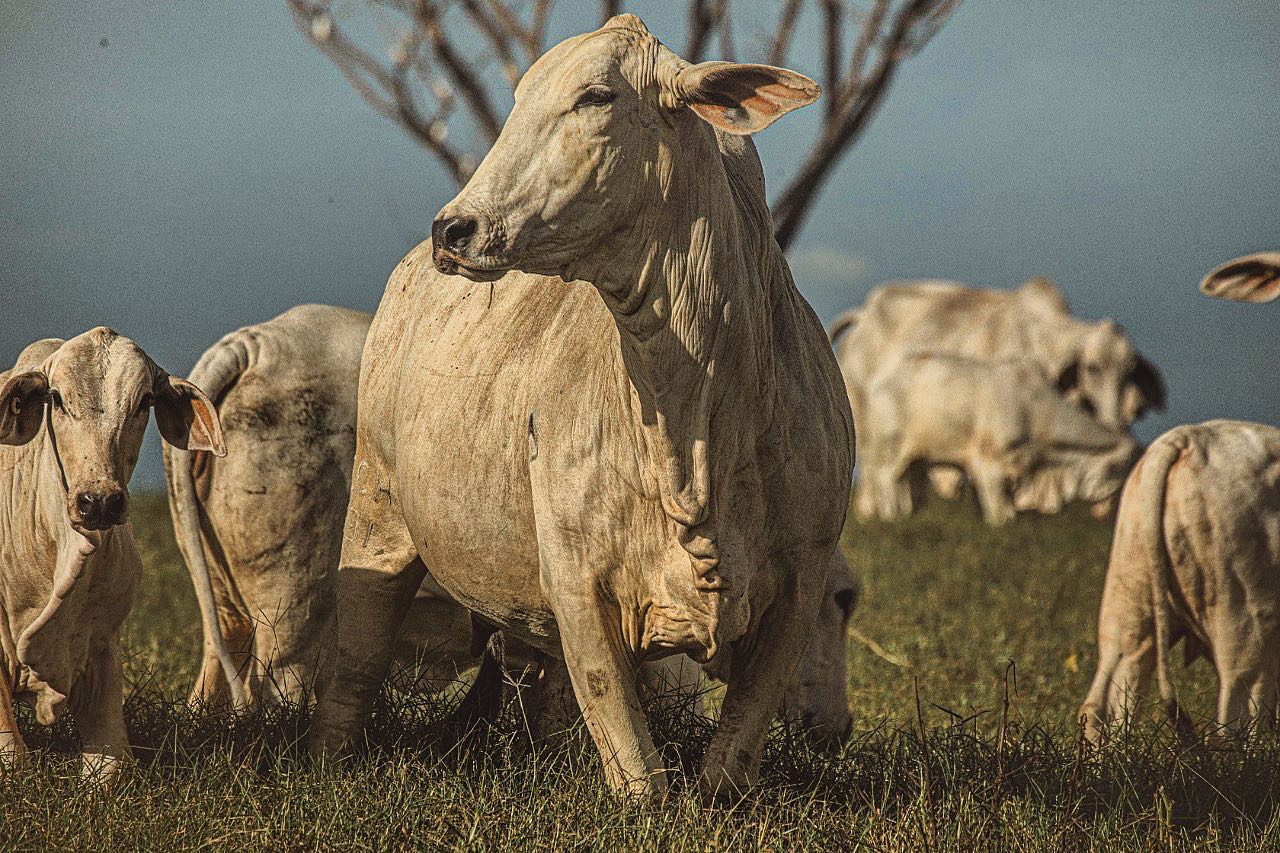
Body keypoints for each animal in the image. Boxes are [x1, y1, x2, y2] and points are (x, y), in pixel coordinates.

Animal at [0, 326, 224, 778]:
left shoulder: (102, 637)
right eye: (56, 398)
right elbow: (12, 755)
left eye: (145, 401)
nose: (99, 502)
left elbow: (111, 762)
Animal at [860, 348, 1141, 522]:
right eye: (1118, 468)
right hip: (890, 451)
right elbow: (999, 514)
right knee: (886, 484)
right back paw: (892, 517)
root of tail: (882, 376)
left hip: (917, 458)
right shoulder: (988, 464)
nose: (1102, 504)